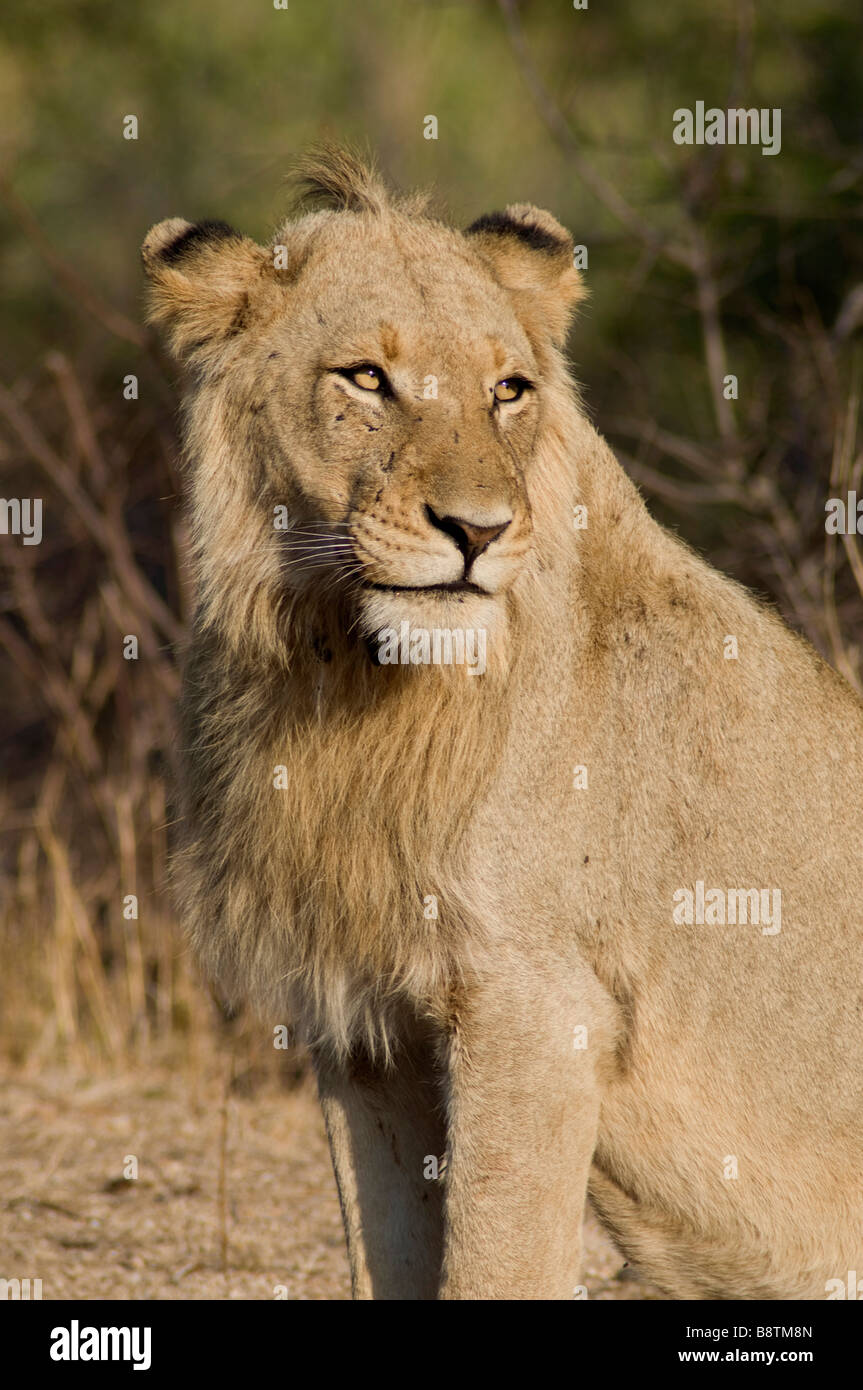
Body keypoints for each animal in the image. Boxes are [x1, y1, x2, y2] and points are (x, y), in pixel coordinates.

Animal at [142, 146, 863, 1300]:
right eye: (365, 378)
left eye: (506, 391)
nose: (476, 532)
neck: (347, 681)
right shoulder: (365, 1028)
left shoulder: (536, 1007)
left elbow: (492, 1264)